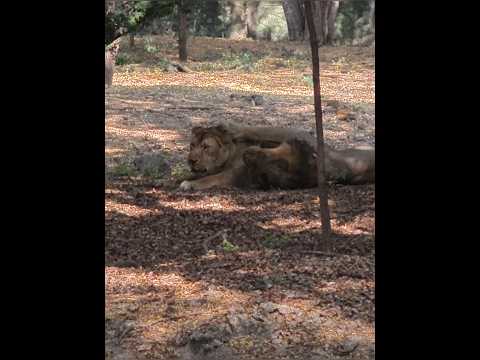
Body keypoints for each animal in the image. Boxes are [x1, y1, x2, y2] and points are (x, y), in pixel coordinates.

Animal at [180, 122, 376, 191]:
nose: (191, 160)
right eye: (192, 146)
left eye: (206, 147)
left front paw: (189, 184)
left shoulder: (231, 175)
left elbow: (208, 179)